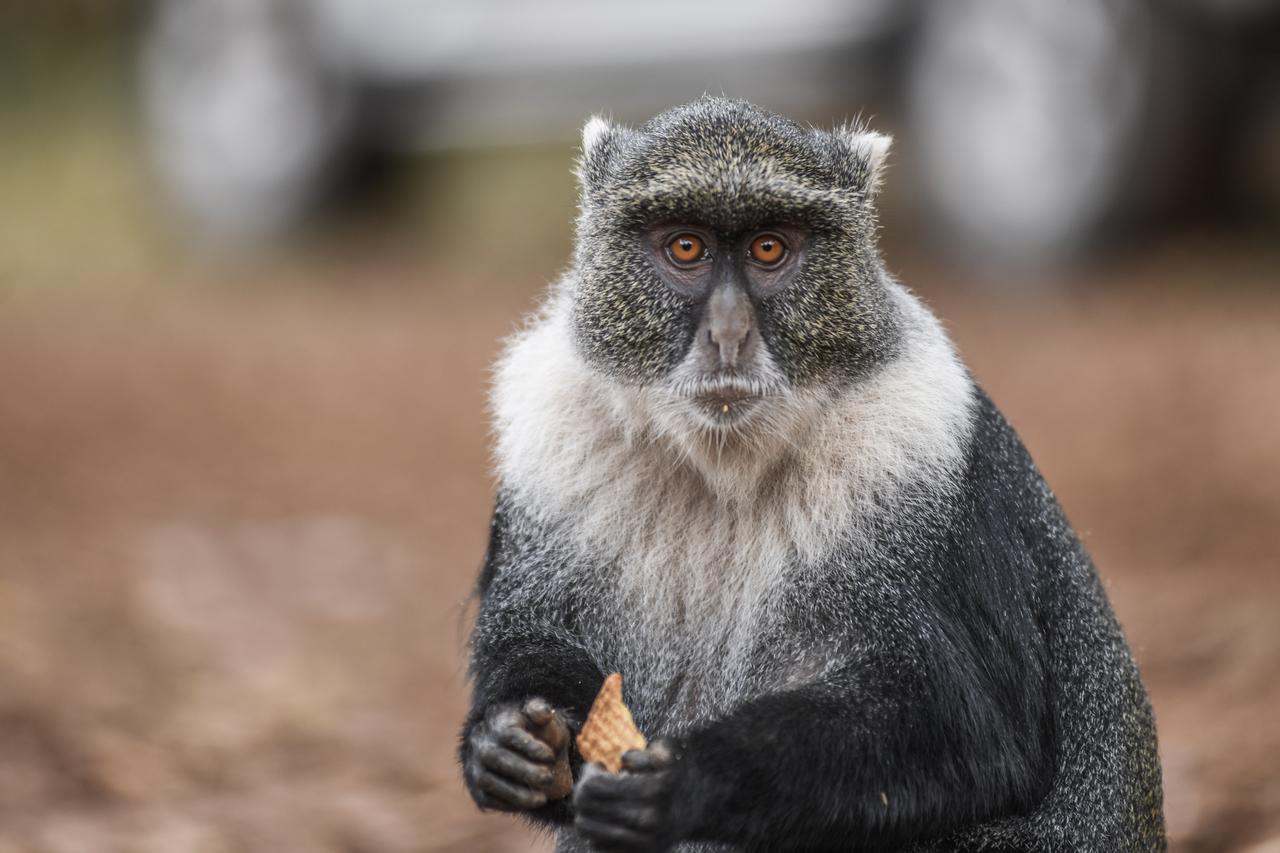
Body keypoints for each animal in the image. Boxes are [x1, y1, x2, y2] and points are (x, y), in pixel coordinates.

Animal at [459, 97, 1165, 852]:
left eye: (770, 248)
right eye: (686, 248)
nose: (728, 334)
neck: (724, 473)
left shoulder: (915, 456)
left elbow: (969, 727)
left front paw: (687, 781)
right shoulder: (550, 451)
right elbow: (534, 636)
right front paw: (506, 741)